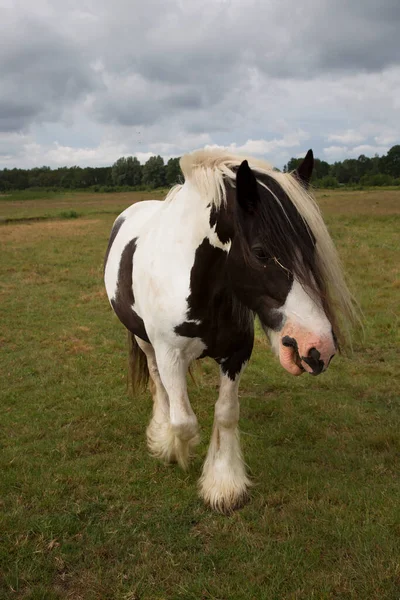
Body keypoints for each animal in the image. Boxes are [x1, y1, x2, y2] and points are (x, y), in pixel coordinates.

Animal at [104, 148, 356, 512]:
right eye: (261, 252)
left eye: (311, 245)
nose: (318, 347)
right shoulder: (169, 354)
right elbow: (183, 421)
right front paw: (175, 450)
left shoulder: (236, 355)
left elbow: (225, 413)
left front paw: (224, 483)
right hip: (144, 342)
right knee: (158, 384)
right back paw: (161, 434)